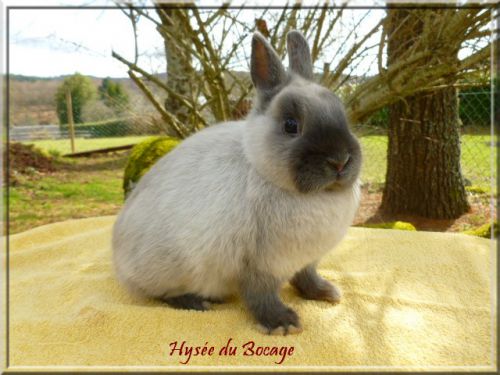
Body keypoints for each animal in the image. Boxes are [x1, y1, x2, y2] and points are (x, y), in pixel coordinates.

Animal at [111, 30, 362, 334]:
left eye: (342, 115)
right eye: (291, 125)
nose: (340, 161)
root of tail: (119, 261)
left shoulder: (306, 260)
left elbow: (306, 277)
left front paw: (326, 293)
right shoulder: (256, 265)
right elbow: (260, 295)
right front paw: (282, 323)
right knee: (161, 294)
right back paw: (195, 302)